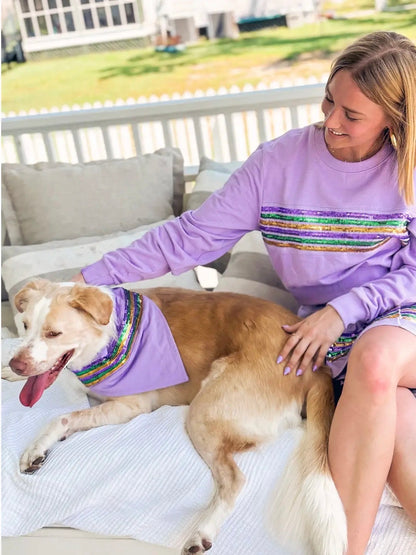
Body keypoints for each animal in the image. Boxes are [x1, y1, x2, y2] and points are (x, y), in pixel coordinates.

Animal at [5, 282, 348, 555]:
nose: (18, 364)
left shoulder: (130, 407)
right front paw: (9, 372)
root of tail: (318, 368)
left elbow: (61, 418)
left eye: (54, 333)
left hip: (202, 414)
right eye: (24, 326)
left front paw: (36, 448)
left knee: (233, 480)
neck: (106, 339)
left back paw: (202, 532)